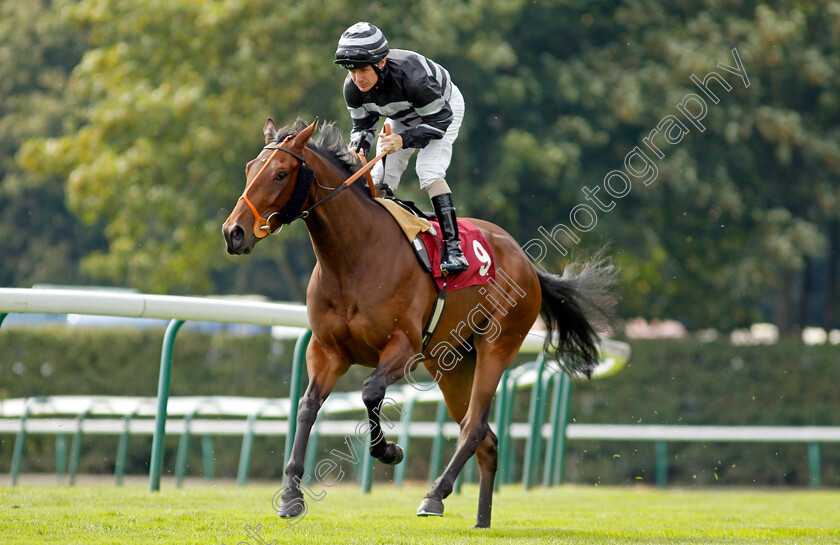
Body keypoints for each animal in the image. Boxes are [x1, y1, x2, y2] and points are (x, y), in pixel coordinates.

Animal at [223, 116, 616, 528]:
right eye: (250, 169)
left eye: (281, 173)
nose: (233, 233)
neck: (353, 258)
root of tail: (526, 262)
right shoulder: (327, 351)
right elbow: (306, 406)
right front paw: (291, 496)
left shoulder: (405, 347)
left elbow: (370, 391)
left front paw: (389, 451)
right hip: (452, 365)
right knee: (486, 439)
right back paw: (481, 520)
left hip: (498, 345)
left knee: (474, 427)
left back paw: (435, 494)